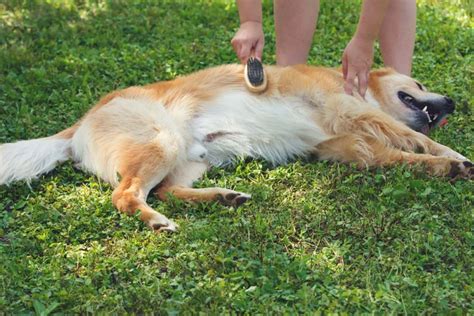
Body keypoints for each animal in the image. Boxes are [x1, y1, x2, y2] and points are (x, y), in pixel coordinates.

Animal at [0, 64, 472, 232]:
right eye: (418, 83)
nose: (452, 102)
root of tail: (78, 126)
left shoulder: (352, 146)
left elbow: (403, 155)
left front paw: (444, 166)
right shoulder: (357, 115)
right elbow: (420, 139)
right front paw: (455, 158)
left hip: (193, 159)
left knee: (166, 189)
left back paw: (223, 198)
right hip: (163, 141)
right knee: (127, 195)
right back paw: (156, 222)